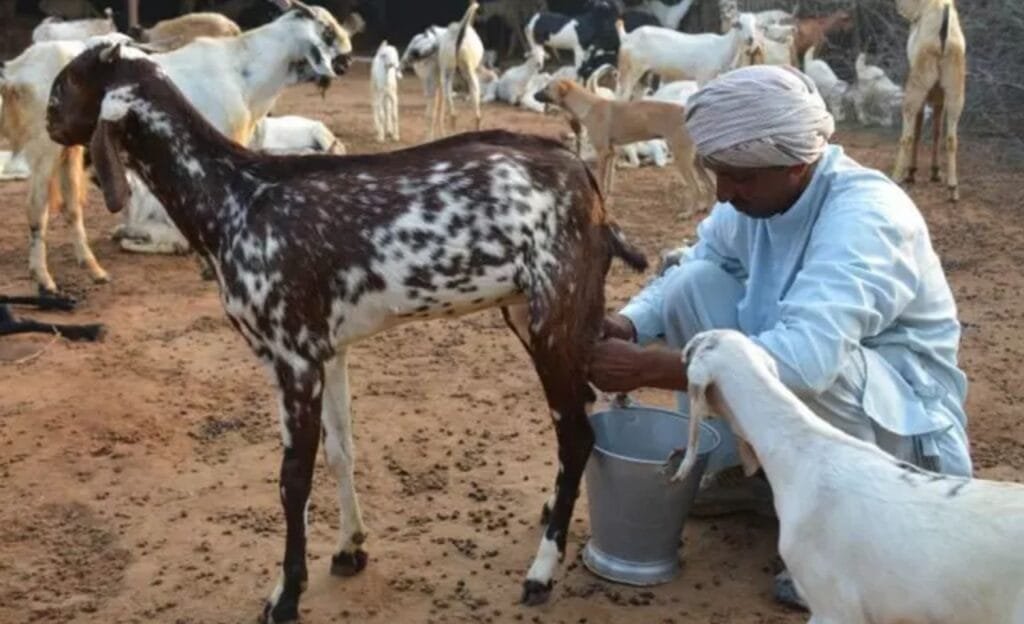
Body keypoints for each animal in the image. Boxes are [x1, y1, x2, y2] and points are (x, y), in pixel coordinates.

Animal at [48, 41, 648, 623]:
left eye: (66, 83)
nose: (50, 122)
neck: (235, 200)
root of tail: (585, 181)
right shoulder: (327, 352)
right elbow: (341, 452)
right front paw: (349, 548)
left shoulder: (291, 359)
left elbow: (292, 478)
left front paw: (286, 595)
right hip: (533, 313)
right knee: (581, 408)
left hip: (554, 314)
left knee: (577, 433)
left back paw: (542, 571)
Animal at [616, 13, 758, 99]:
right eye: (739, 25)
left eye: (755, 25)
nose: (751, 39)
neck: (722, 47)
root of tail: (627, 36)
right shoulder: (703, 75)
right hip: (632, 68)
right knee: (624, 94)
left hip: (641, 72)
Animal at [891, 0, 966, 202]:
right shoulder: (940, 94)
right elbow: (937, 130)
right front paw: (935, 172)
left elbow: (917, 129)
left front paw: (912, 173)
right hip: (955, 86)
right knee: (951, 137)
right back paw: (953, 189)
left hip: (919, 81)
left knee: (908, 134)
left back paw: (897, 178)